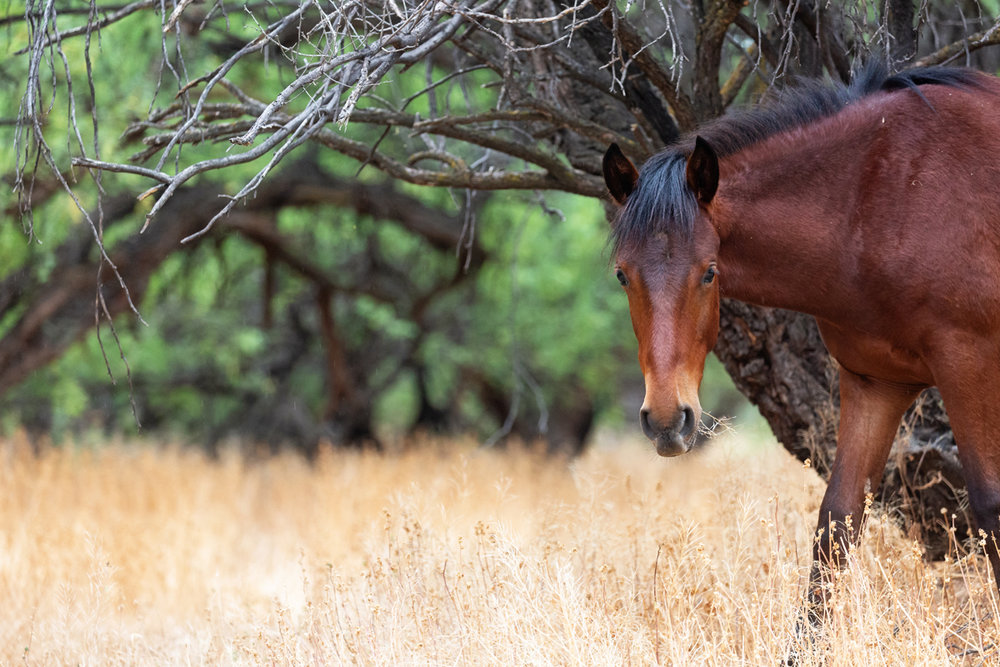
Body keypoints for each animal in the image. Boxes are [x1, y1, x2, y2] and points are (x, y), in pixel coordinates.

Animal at [604, 65, 1000, 600]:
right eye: (622, 275)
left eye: (710, 272)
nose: (668, 421)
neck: (888, 196)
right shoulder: (876, 384)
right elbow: (836, 524)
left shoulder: (968, 364)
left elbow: (989, 507)